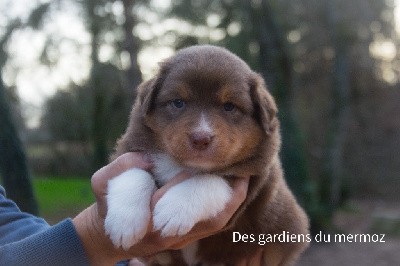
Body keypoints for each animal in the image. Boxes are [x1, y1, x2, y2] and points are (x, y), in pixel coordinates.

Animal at [104, 44, 308, 264]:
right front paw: (124, 222)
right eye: (178, 102)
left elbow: (208, 180)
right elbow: (133, 172)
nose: (201, 138)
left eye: (229, 106)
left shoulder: (253, 179)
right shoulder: (131, 147)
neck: (184, 165)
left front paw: (173, 210)